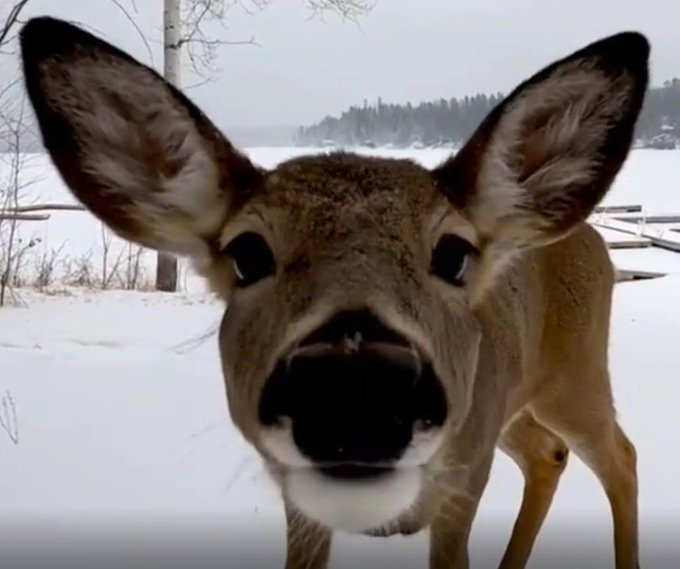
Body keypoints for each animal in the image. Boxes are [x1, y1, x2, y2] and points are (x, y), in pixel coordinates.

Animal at [19, 16, 649, 569]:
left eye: (454, 253)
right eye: (247, 253)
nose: (356, 380)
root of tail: (593, 236)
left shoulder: (466, 473)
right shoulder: (301, 501)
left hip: (574, 375)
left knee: (620, 454)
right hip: (511, 403)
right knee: (549, 453)